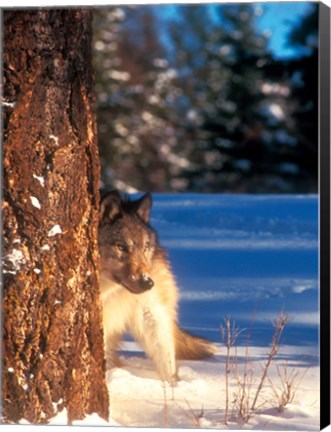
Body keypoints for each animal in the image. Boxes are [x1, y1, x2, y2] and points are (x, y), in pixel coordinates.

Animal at [99, 191, 218, 384]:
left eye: (145, 247)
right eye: (121, 247)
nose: (148, 282)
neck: (110, 291)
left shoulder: (150, 312)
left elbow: (167, 361)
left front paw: (172, 388)